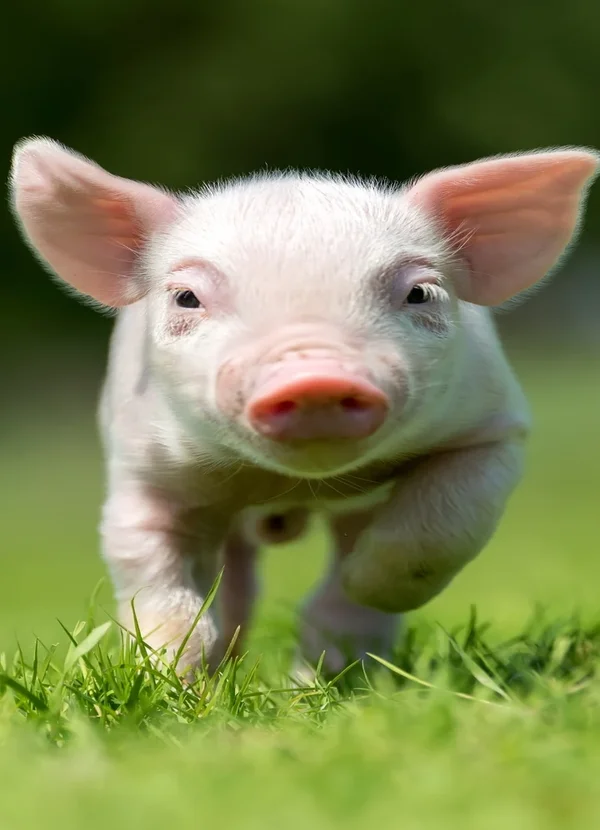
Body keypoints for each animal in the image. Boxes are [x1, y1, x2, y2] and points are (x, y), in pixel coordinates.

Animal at [9, 138, 598, 677]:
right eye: (186, 298)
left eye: (420, 293)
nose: (315, 375)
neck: (291, 485)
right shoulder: (143, 469)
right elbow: (150, 571)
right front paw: (169, 674)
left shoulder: (492, 430)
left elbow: (441, 528)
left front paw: (363, 582)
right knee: (238, 584)